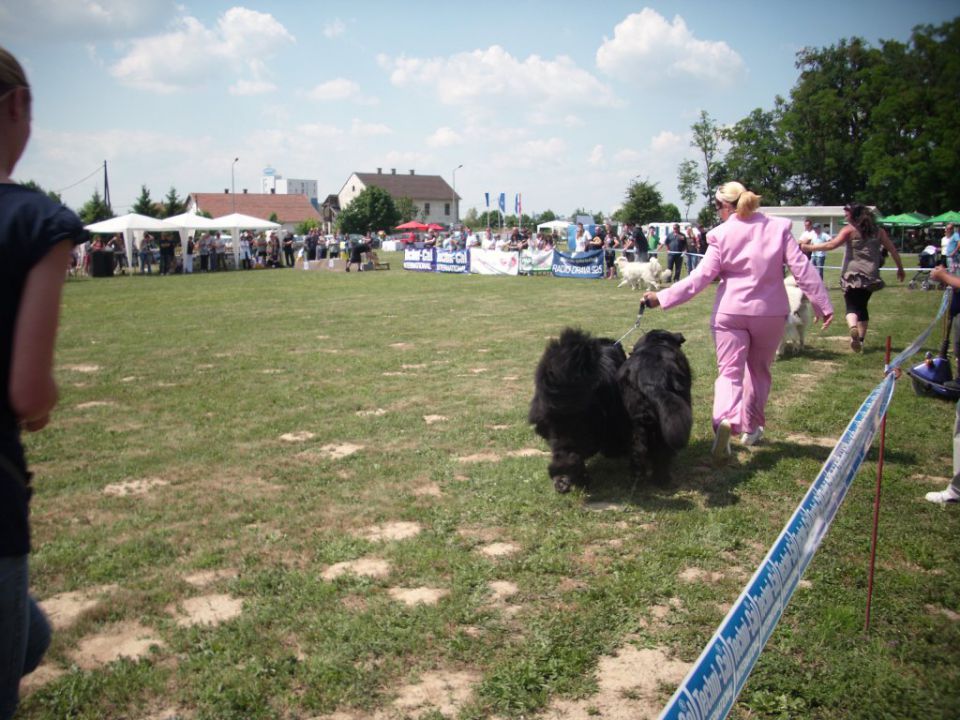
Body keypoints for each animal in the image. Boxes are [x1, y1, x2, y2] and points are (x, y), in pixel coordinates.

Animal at [620, 330, 692, 484]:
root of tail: (649, 380)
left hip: (637, 425)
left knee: (637, 451)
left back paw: (637, 480)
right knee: (662, 452)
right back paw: (663, 480)